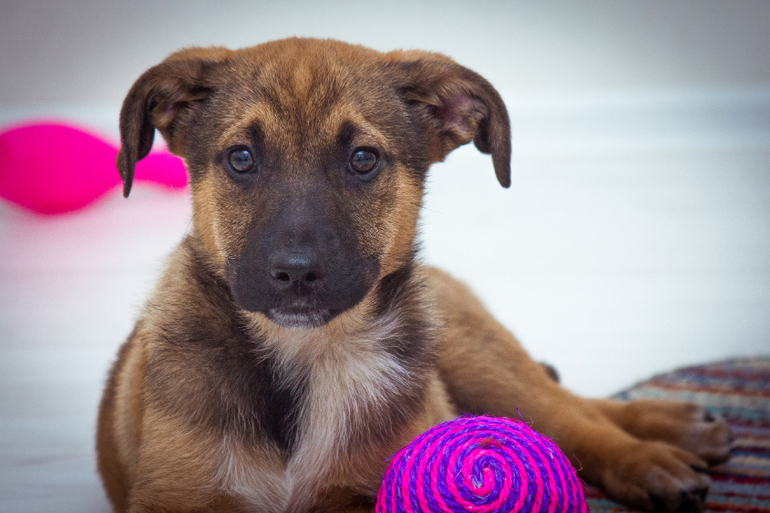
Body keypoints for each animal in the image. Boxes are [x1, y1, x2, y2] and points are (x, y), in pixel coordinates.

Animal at [96, 38, 732, 513]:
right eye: (241, 159)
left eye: (362, 159)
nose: (296, 274)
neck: (308, 360)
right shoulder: (177, 494)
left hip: (470, 350)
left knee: (566, 412)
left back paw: (660, 449)